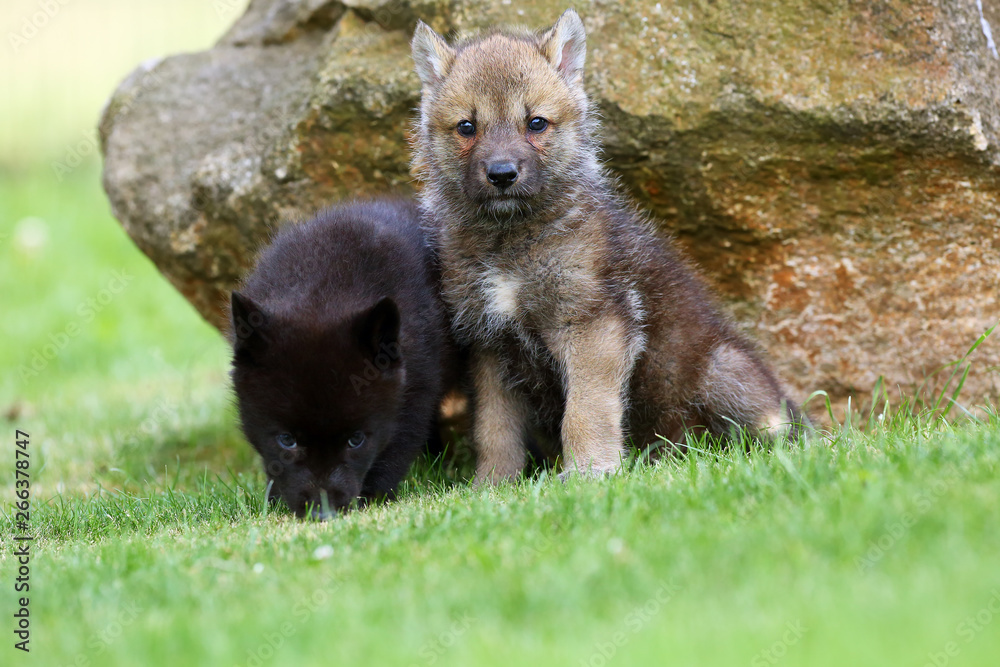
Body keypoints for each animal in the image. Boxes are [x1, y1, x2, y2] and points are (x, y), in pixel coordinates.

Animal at [229, 199, 458, 517]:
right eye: (287, 440)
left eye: (356, 440)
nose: (322, 513)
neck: (323, 292)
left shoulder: (416, 391)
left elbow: (397, 447)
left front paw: (374, 497)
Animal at [411, 9, 805, 484]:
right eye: (467, 127)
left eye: (536, 123)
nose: (502, 174)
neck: (509, 244)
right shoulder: (489, 345)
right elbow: (494, 430)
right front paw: (493, 485)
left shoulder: (593, 325)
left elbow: (585, 411)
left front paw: (590, 472)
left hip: (725, 370)